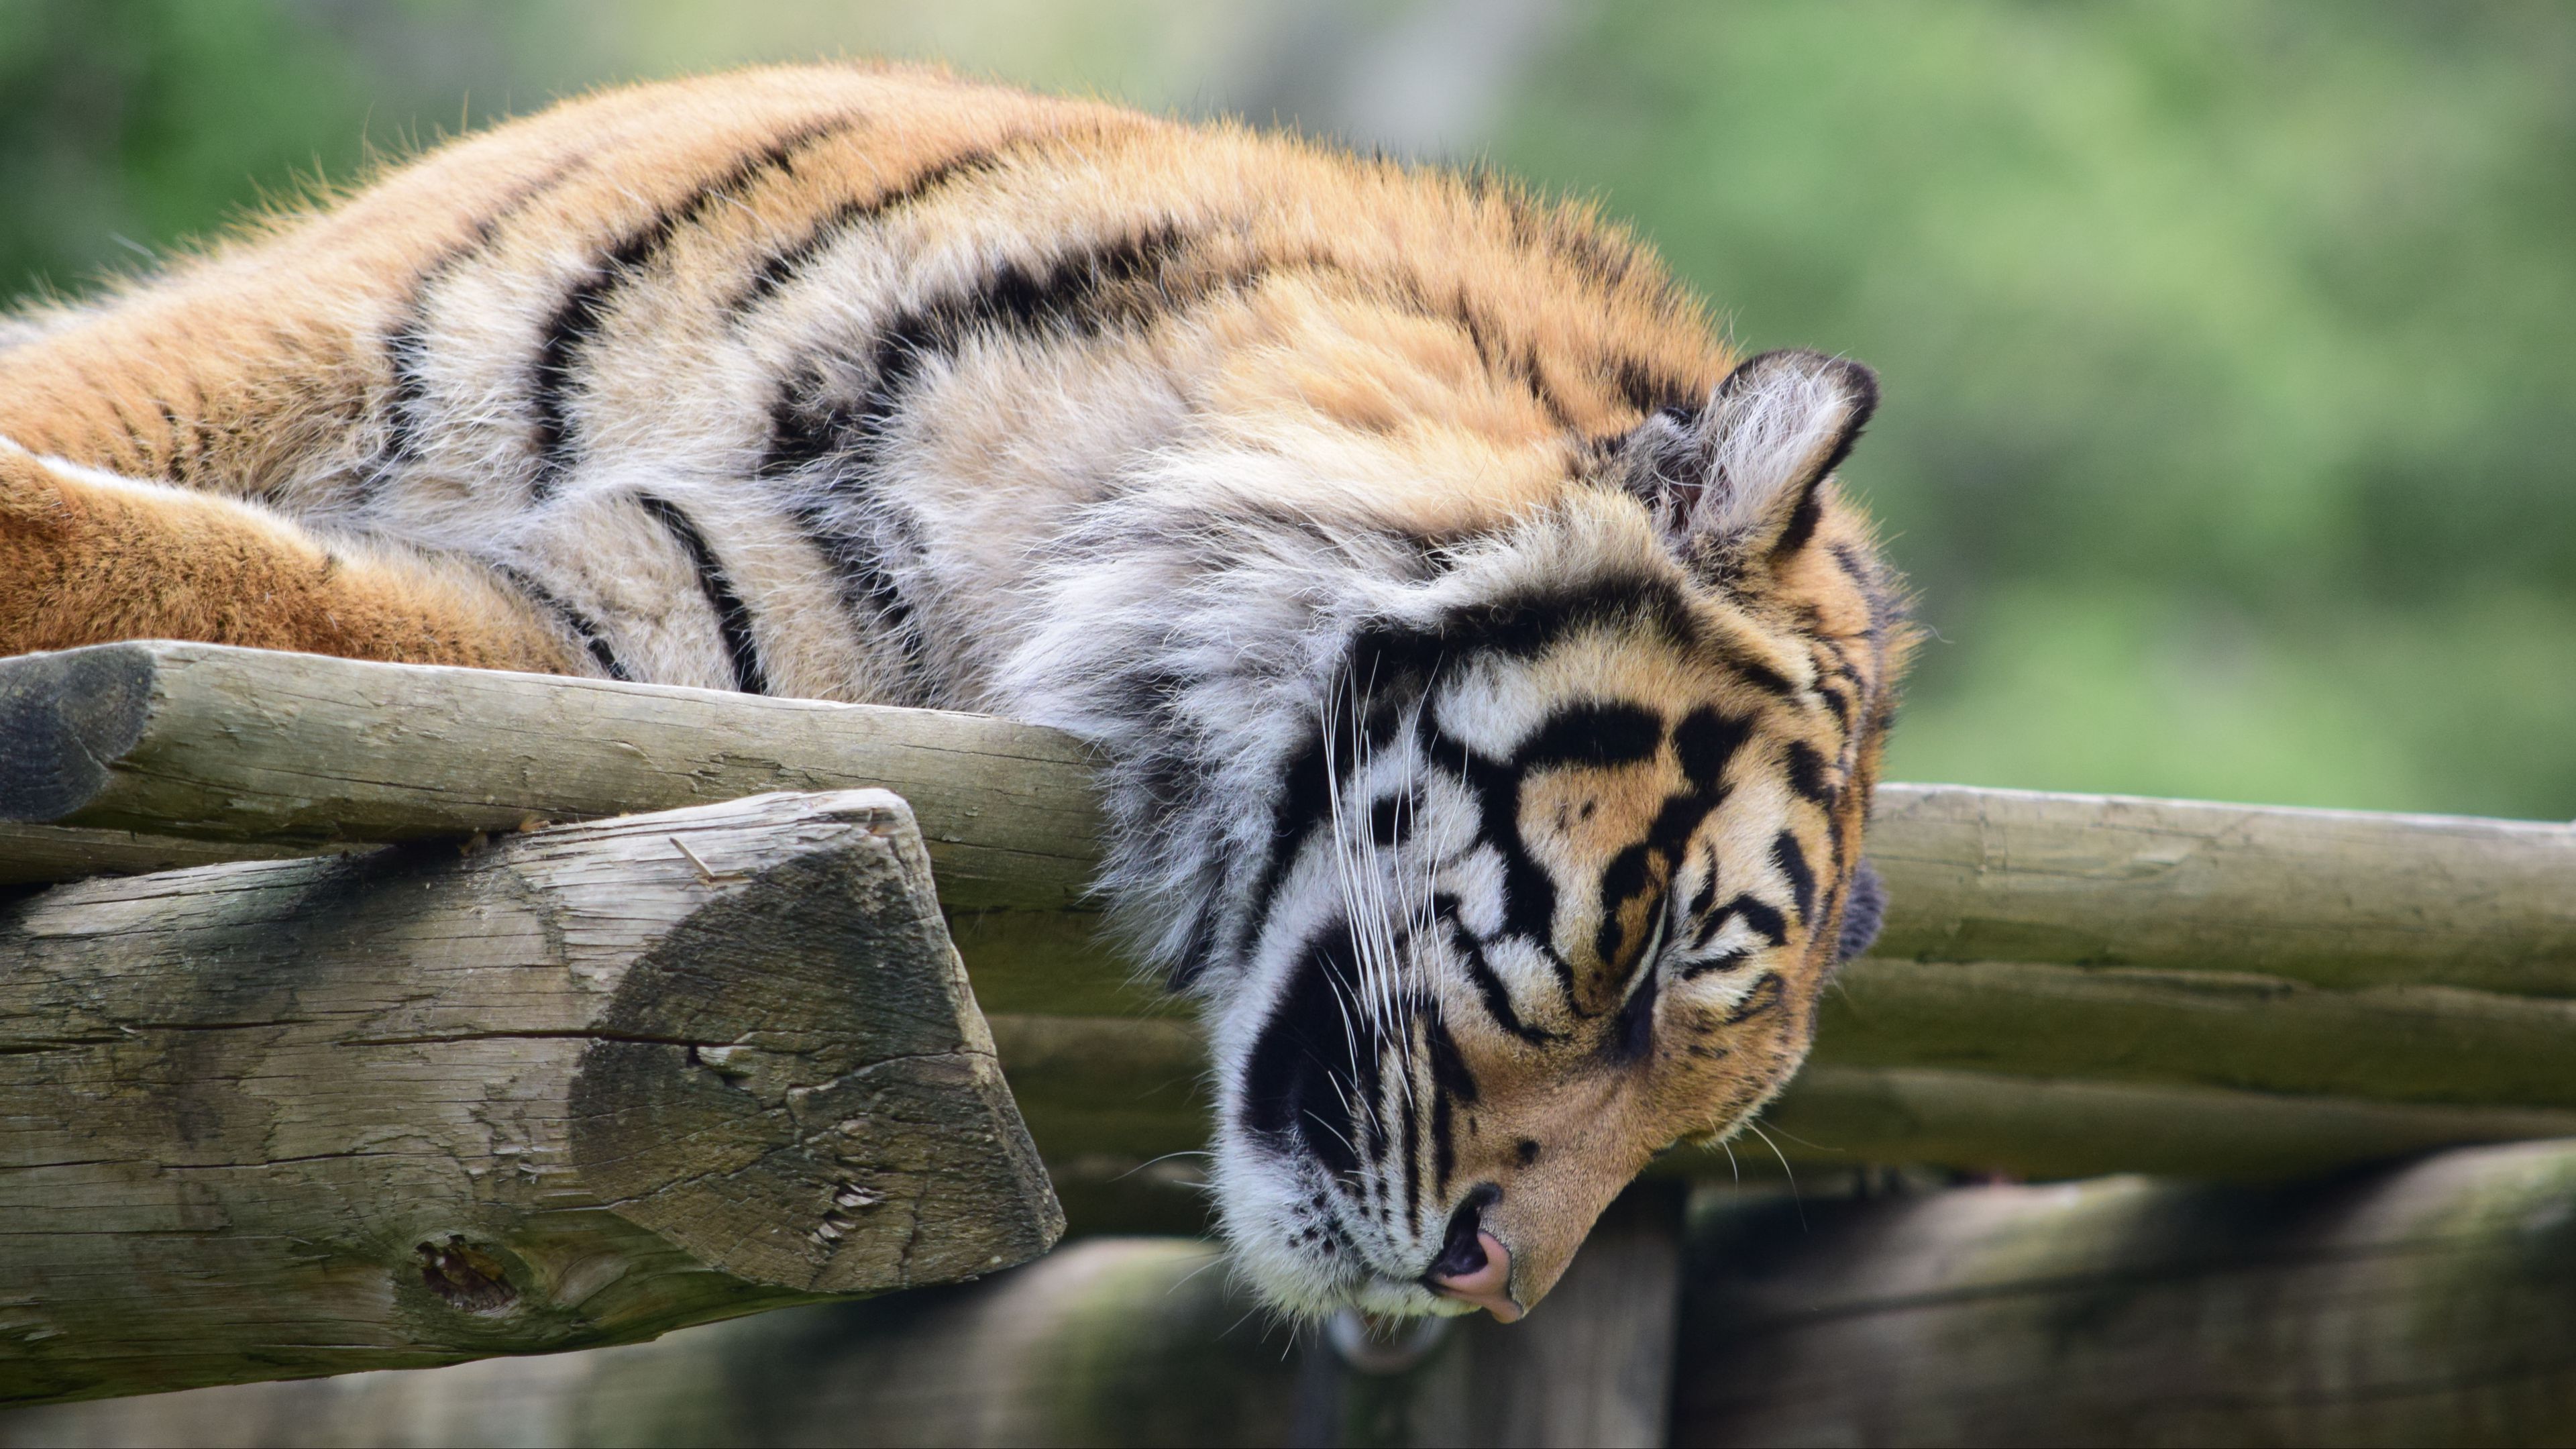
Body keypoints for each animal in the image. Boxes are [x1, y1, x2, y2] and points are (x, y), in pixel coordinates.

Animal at [0, 62, 1912, 1323]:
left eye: (1702, 1095)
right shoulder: (311, 322)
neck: (1067, 494)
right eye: (1656, 957)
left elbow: (260, 585)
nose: (1491, 1287)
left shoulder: (624, 634)